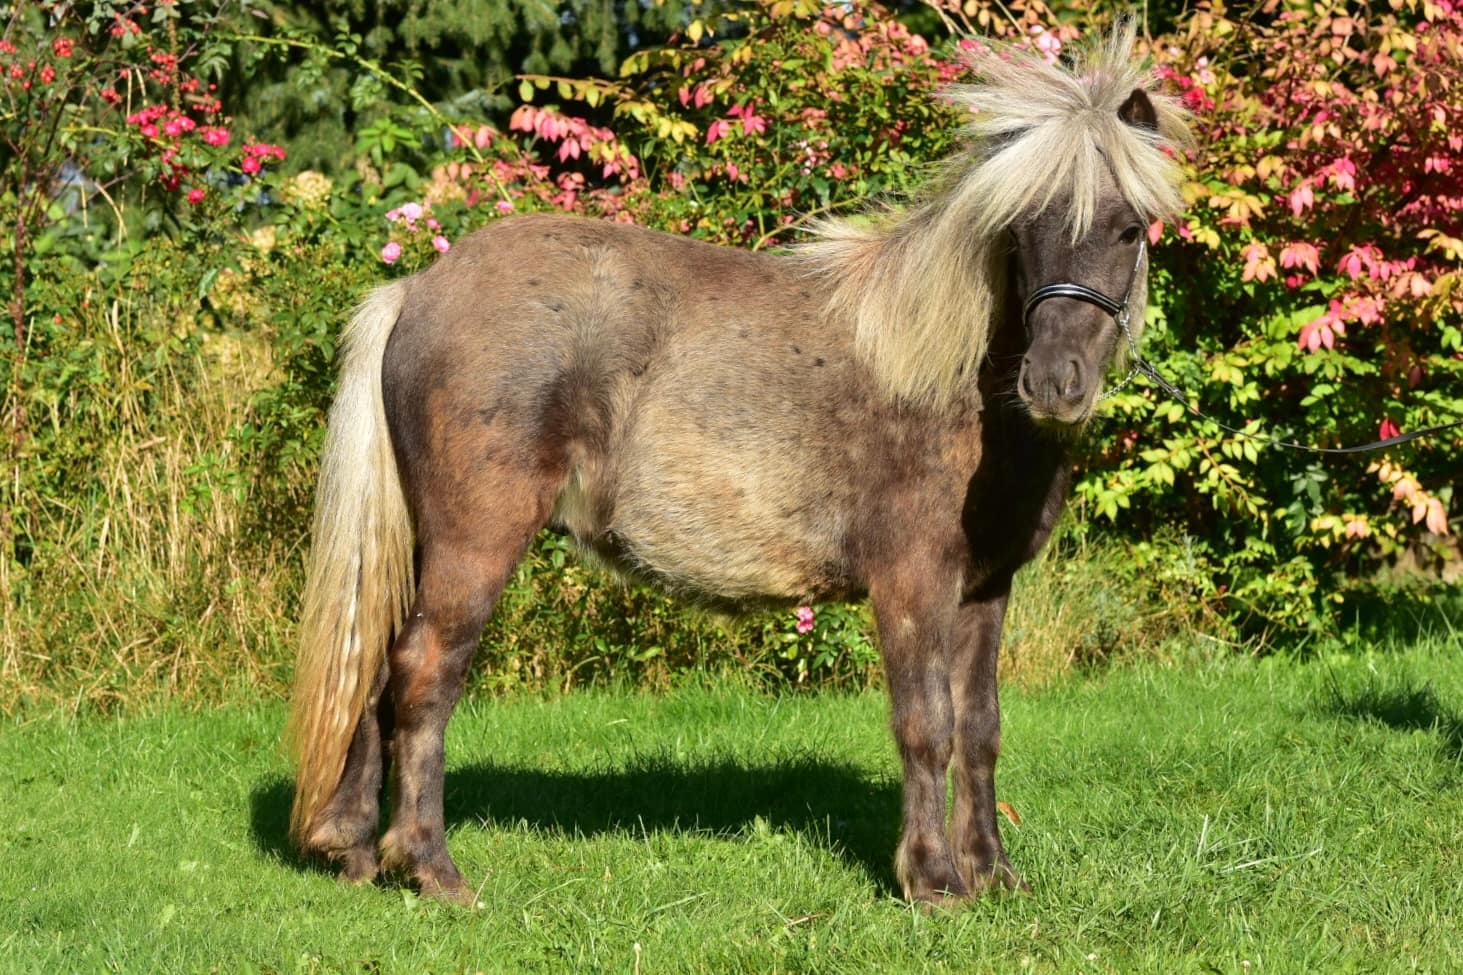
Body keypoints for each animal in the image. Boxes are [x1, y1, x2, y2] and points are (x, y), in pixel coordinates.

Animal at [287, 24, 1192, 905]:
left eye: (1129, 227)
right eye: (1023, 229)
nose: (1054, 384)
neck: (946, 376)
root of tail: (416, 289)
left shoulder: (983, 589)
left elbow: (978, 729)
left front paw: (993, 872)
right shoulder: (911, 585)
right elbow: (925, 724)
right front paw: (933, 878)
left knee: (375, 666)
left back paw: (355, 848)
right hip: (475, 544)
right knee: (422, 673)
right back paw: (429, 865)